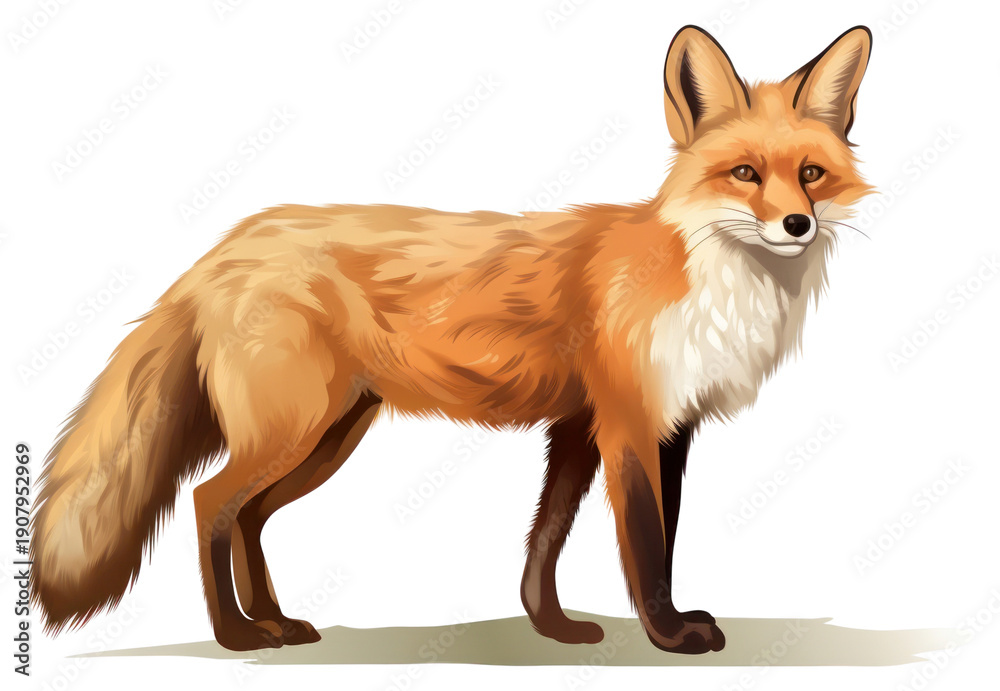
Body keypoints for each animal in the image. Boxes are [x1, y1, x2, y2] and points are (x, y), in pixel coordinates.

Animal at [31, 25, 873, 654]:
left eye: (811, 174)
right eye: (743, 173)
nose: (795, 224)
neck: (703, 278)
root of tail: (227, 244)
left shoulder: (605, 426)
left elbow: (547, 539)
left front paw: (553, 626)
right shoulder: (630, 423)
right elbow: (646, 544)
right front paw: (669, 635)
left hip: (328, 437)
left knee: (247, 516)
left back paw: (273, 619)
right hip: (296, 429)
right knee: (209, 502)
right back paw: (236, 635)